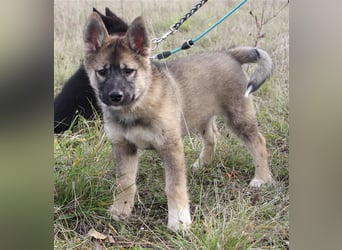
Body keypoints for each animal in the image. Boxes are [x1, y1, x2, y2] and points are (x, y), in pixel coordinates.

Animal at [84, 13, 274, 230]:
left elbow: (174, 187)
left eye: (128, 71)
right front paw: (121, 210)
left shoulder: (170, 146)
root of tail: (230, 55)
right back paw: (203, 163)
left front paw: (179, 221)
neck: (137, 106)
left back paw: (261, 178)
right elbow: (125, 183)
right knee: (212, 138)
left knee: (258, 142)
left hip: (239, 118)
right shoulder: (124, 146)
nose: (115, 96)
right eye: (102, 72)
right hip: (201, 115)